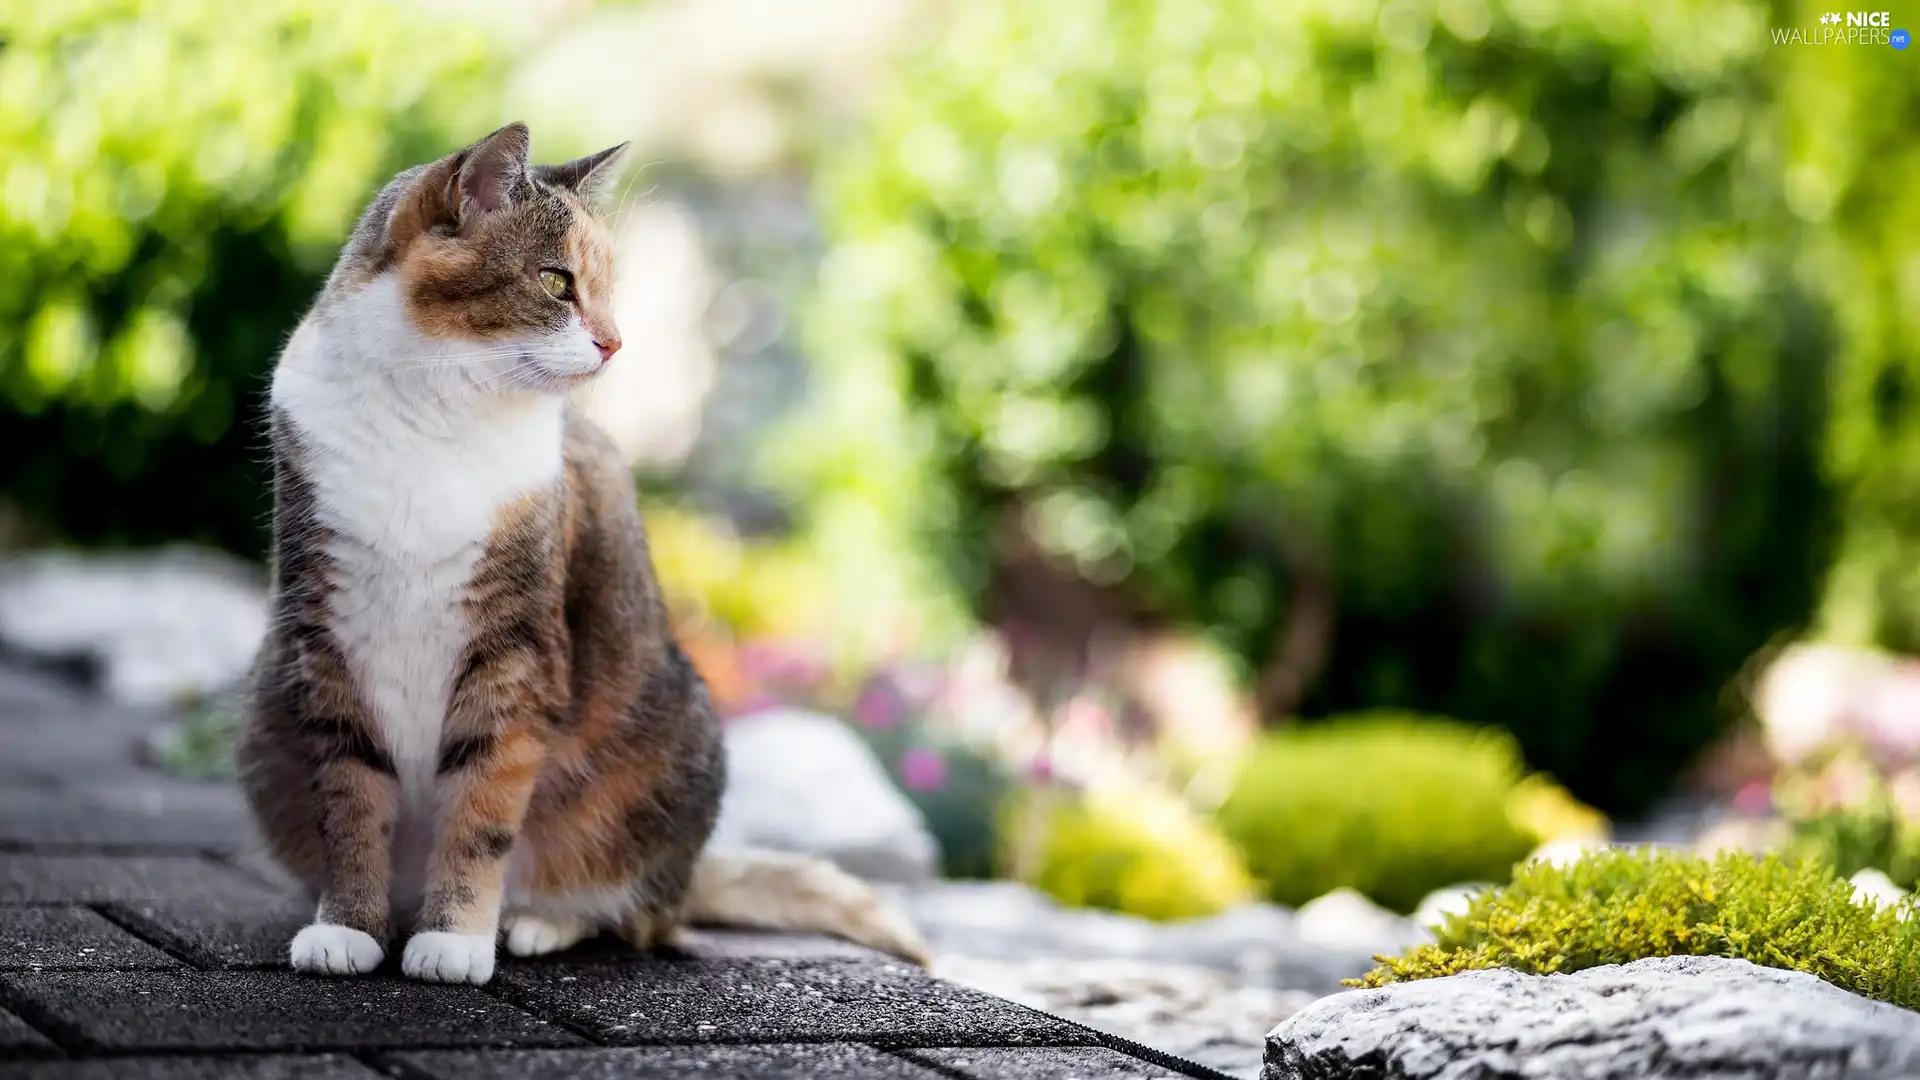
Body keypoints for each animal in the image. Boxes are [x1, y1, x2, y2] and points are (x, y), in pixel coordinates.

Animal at [240, 123, 929, 983]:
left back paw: (534, 922)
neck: (434, 413)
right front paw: (348, 927)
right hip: (265, 724)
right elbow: (350, 801)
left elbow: (484, 808)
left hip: (668, 760)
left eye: (603, 289)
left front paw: (455, 938)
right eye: (556, 281)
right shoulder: (328, 634)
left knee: (640, 916)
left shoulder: (516, 653)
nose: (615, 342)